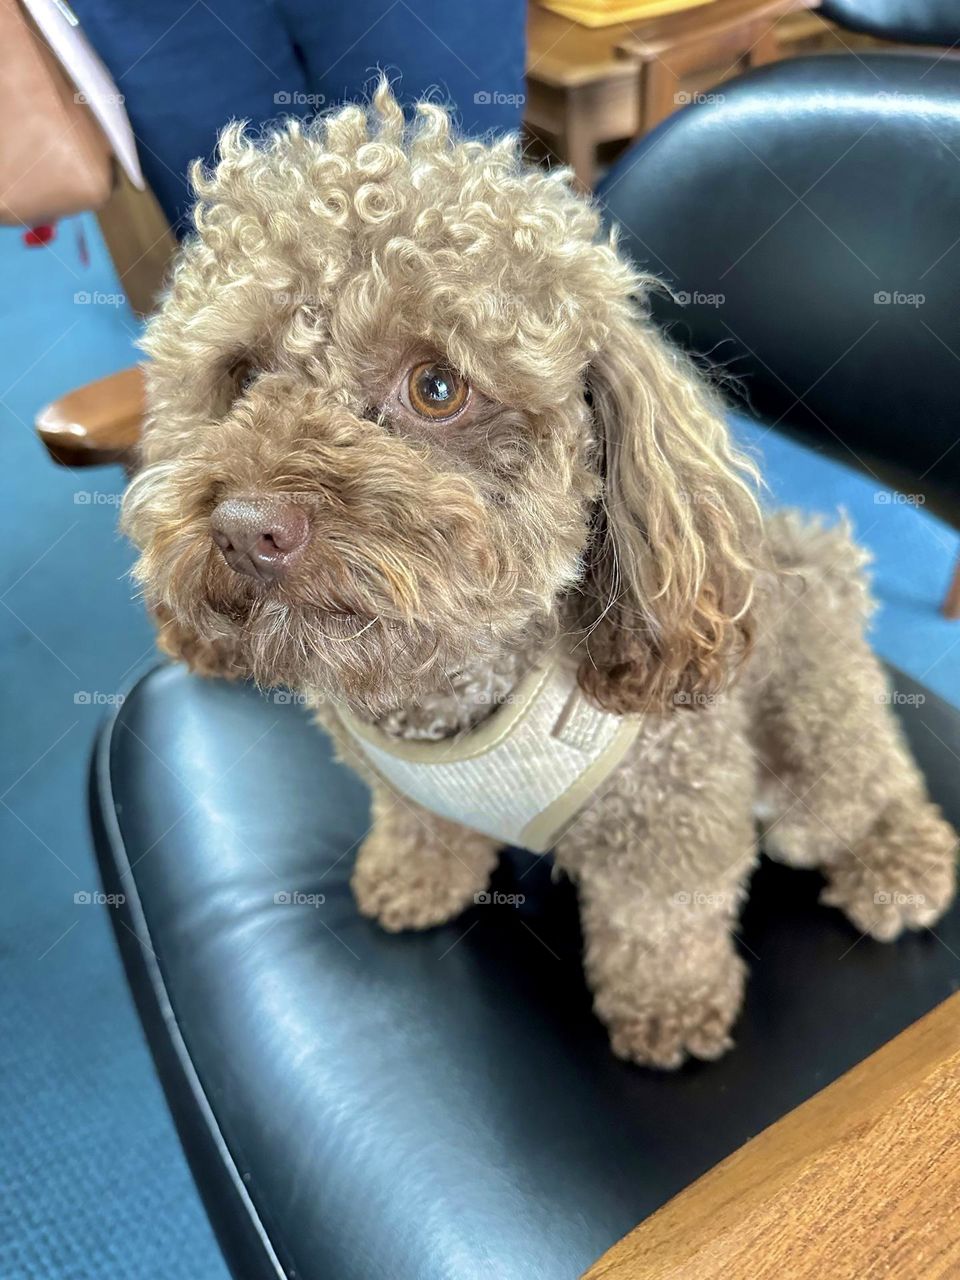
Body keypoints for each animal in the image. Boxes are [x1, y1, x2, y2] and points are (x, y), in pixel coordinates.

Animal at [124, 82, 957, 1070]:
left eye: (437, 387)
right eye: (242, 374)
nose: (246, 528)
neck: (452, 691)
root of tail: (811, 561)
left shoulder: (672, 810)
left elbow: (660, 920)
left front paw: (669, 1009)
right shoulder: (398, 785)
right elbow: (419, 825)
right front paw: (415, 878)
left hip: (815, 722)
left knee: (866, 786)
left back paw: (900, 865)